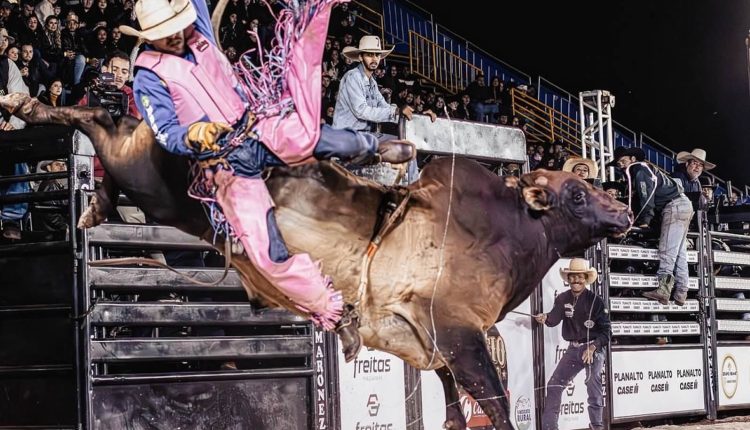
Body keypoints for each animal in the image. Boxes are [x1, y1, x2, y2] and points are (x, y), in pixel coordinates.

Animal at [1, 92, 636, 428]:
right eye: (576, 195)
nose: (626, 211)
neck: (507, 228)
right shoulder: (458, 333)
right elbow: (496, 403)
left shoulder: (433, 349)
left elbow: (456, 407)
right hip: (154, 179)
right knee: (99, 124)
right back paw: (34, 108)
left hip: (146, 171)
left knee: (113, 134)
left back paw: (92, 200)